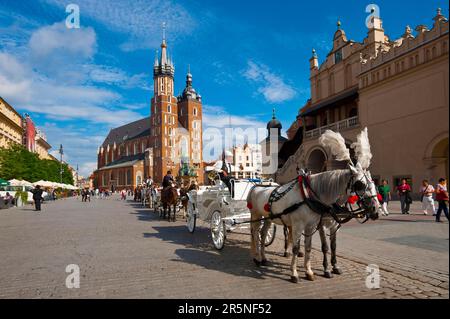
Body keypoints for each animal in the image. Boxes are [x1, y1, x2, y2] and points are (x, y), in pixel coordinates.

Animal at [246, 127, 380, 282]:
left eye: (374, 184)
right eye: (360, 184)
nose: (376, 210)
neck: (309, 195)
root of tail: (258, 186)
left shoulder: (314, 225)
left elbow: (315, 247)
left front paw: (311, 272)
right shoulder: (305, 225)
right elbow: (308, 247)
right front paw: (296, 273)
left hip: (269, 218)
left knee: (263, 234)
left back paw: (263, 258)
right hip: (256, 215)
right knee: (255, 234)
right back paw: (256, 258)